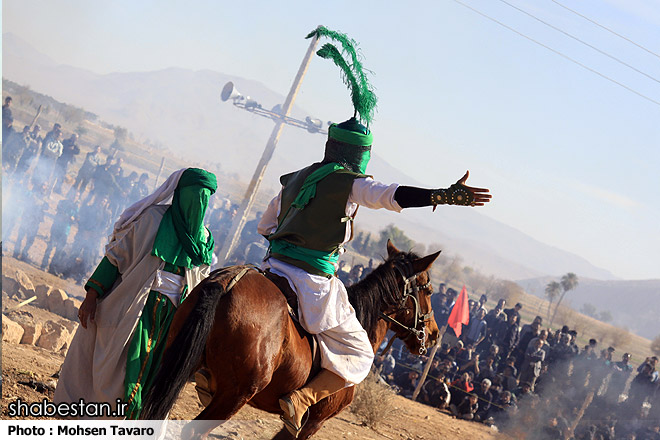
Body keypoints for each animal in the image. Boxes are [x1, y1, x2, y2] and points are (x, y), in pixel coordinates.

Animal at [142, 241, 440, 440]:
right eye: (428, 290)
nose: (435, 335)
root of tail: (228, 281)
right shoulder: (312, 423)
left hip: (175, 366)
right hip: (236, 394)